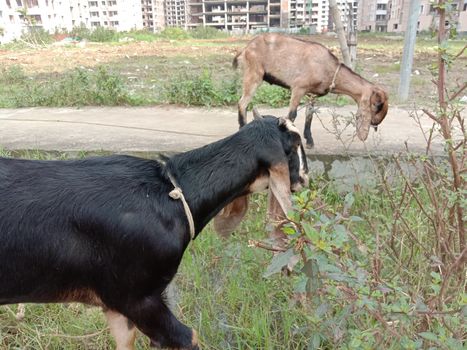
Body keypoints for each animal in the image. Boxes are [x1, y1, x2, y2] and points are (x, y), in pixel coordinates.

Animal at [0, 116, 308, 348]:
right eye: (294, 146)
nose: (305, 179)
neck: (172, 191)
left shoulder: (117, 306)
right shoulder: (137, 298)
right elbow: (189, 337)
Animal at [236, 33, 390, 146]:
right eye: (377, 104)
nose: (375, 124)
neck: (329, 69)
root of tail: (246, 49)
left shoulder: (311, 94)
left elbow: (310, 114)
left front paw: (309, 140)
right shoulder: (298, 88)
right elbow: (292, 115)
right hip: (253, 74)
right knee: (242, 103)